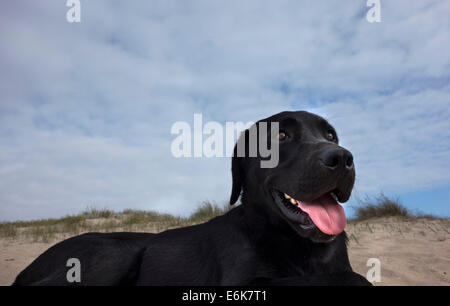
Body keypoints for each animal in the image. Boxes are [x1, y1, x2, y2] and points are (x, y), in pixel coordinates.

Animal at [14, 111, 370, 286]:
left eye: (330, 135)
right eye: (281, 135)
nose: (342, 157)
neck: (299, 246)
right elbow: (352, 278)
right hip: (112, 252)